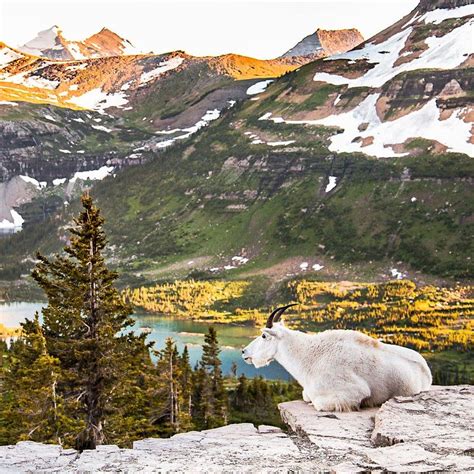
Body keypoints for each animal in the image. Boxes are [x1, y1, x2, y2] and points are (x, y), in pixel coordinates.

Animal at [243, 304, 432, 412]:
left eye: (264, 336)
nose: (244, 352)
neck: (309, 356)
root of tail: (427, 369)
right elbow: (306, 395)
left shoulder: (355, 391)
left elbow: (317, 402)